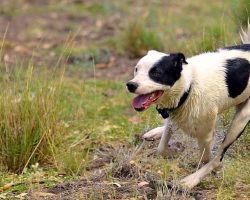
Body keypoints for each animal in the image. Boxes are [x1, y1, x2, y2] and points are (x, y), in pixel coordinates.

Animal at [126, 25, 250, 189]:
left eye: (156, 73)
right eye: (136, 69)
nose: (130, 85)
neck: (189, 86)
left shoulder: (206, 135)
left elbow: (205, 158)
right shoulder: (174, 112)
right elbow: (161, 148)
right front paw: (173, 152)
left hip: (240, 120)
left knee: (218, 157)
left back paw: (192, 179)